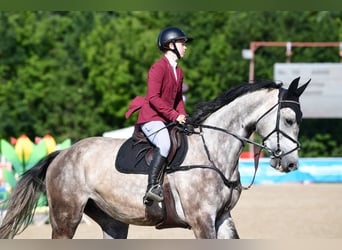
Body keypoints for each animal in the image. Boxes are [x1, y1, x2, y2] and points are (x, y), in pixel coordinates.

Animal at [0, 76, 310, 238]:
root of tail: (63, 154)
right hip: (66, 217)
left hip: (113, 221)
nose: (291, 163)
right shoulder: (202, 220)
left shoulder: (222, 218)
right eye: (288, 119)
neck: (215, 152)